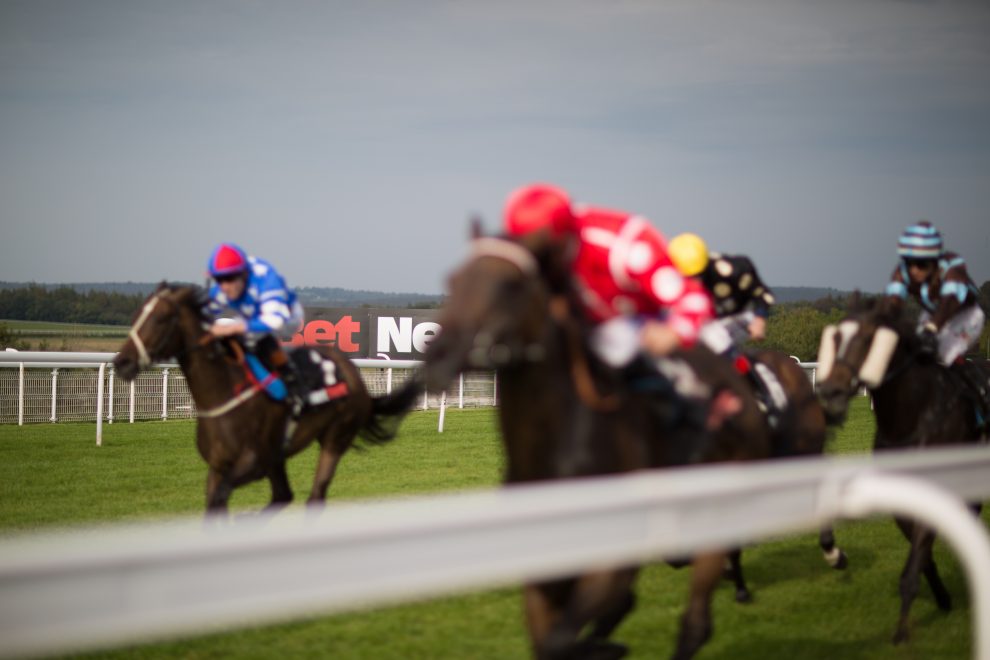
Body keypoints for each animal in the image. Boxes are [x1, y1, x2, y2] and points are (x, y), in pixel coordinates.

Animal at [112, 283, 418, 515]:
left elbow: (222, 497)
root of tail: (355, 376)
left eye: (160, 318)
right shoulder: (219, 466)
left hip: (335, 438)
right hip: (278, 456)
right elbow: (214, 505)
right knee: (284, 495)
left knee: (314, 497)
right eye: (136, 316)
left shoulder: (253, 462)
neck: (224, 392)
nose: (122, 362)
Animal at [420, 232, 773, 659]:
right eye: (453, 280)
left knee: (697, 619)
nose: (441, 351)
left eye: (511, 285)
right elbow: (553, 641)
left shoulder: (606, 561)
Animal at [815, 300, 988, 644]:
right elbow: (922, 556)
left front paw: (901, 633)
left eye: (868, 338)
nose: (830, 390)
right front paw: (942, 598)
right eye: (836, 337)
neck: (912, 416)